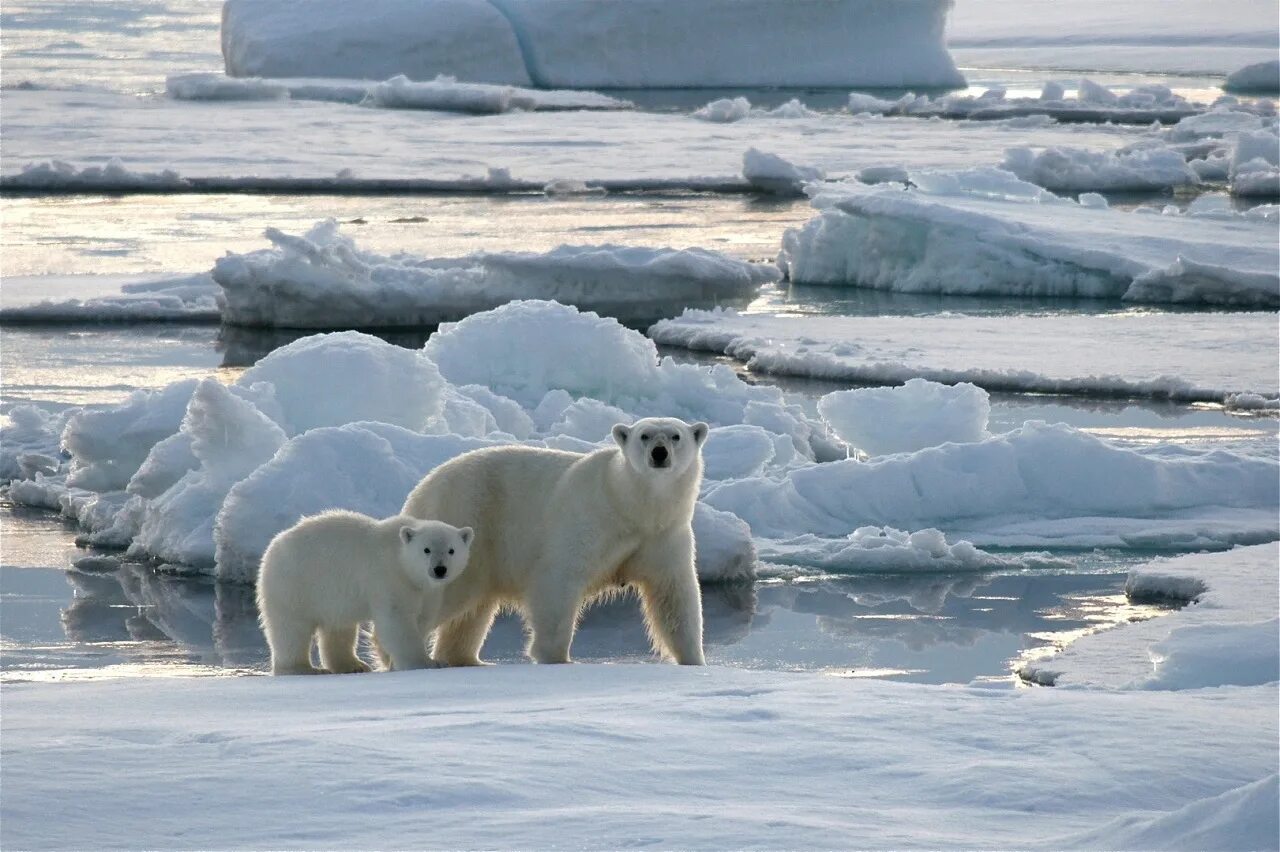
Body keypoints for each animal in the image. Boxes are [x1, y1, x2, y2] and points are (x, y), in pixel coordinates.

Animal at [254, 506, 471, 675]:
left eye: (451, 550)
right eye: (426, 550)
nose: (439, 569)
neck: (402, 559)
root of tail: (273, 546)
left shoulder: (427, 591)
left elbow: (423, 620)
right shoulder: (389, 578)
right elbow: (398, 621)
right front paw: (427, 663)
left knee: (339, 627)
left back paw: (353, 665)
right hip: (294, 584)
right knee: (291, 628)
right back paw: (302, 669)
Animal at [401, 414, 711, 665]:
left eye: (675, 436)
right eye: (644, 435)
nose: (659, 453)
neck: (629, 504)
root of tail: (419, 490)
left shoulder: (664, 534)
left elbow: (674, 594)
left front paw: (695, 660)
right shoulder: (588, 518)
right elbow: (559, 578)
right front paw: (556, 657)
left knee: (472, 612)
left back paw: (466, 659)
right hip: (466, 517)